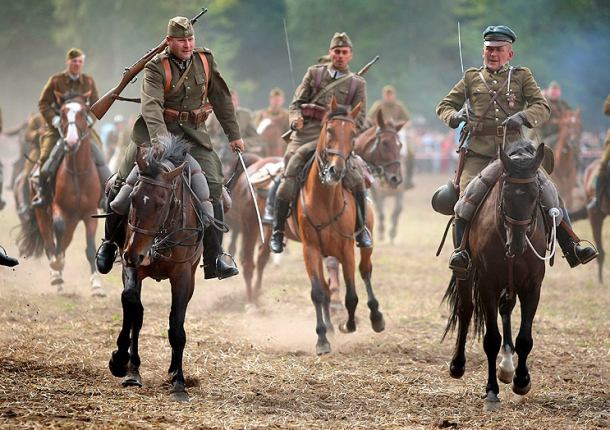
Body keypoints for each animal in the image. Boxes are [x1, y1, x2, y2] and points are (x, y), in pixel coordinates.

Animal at [16, 96, 104, 295]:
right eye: (62, 114)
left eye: (83, 113)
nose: (71, 141)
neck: (78, 172)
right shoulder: (59, 209)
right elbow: (57, 231)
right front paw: (57, 266)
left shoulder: (90, 214)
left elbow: (90, 248)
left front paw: (96, 285)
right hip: (42, 214)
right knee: (50, 242)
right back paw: (56, 275)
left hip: (73, 220)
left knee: (64, 242)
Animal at [108, 135, 205, 402]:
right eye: (132, 198)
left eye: (161, 204)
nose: (134, 253)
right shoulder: (132, 268)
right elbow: (132, 308)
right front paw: (122, 363)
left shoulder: (183, 276)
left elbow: (177, 325)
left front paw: (179, 383)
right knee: (137, 315)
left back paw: (173, 371)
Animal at [443, 140, 548, 411]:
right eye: (506, 194)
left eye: (535, 194)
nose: (518, 245)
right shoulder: (487, 283)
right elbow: (491, 338)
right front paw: (491, 390)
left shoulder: (532, 286)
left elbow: (525, 338)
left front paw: (521, 380)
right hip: (468, 274)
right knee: (466, 310)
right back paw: (458, 364)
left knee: (506, 310)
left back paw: (508, 365)